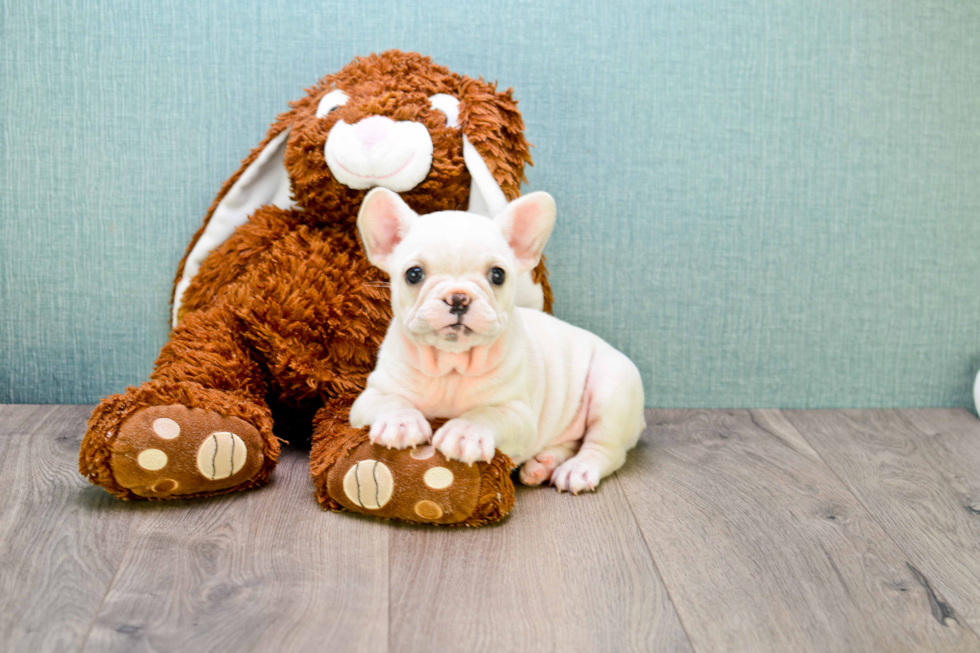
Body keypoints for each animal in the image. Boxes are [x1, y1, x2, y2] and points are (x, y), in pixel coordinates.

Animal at [348, 186, 648, 492]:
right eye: (414, 274)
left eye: (497, 274)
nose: (458, 297)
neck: (451, 365)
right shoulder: (370, 396)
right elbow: (390, 401)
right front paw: (400, 422)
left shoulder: (518, 415)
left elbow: (488, 413)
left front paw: (465, 432)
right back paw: (544, 464)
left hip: (612, 389)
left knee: (604, 448)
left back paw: (577, 469)